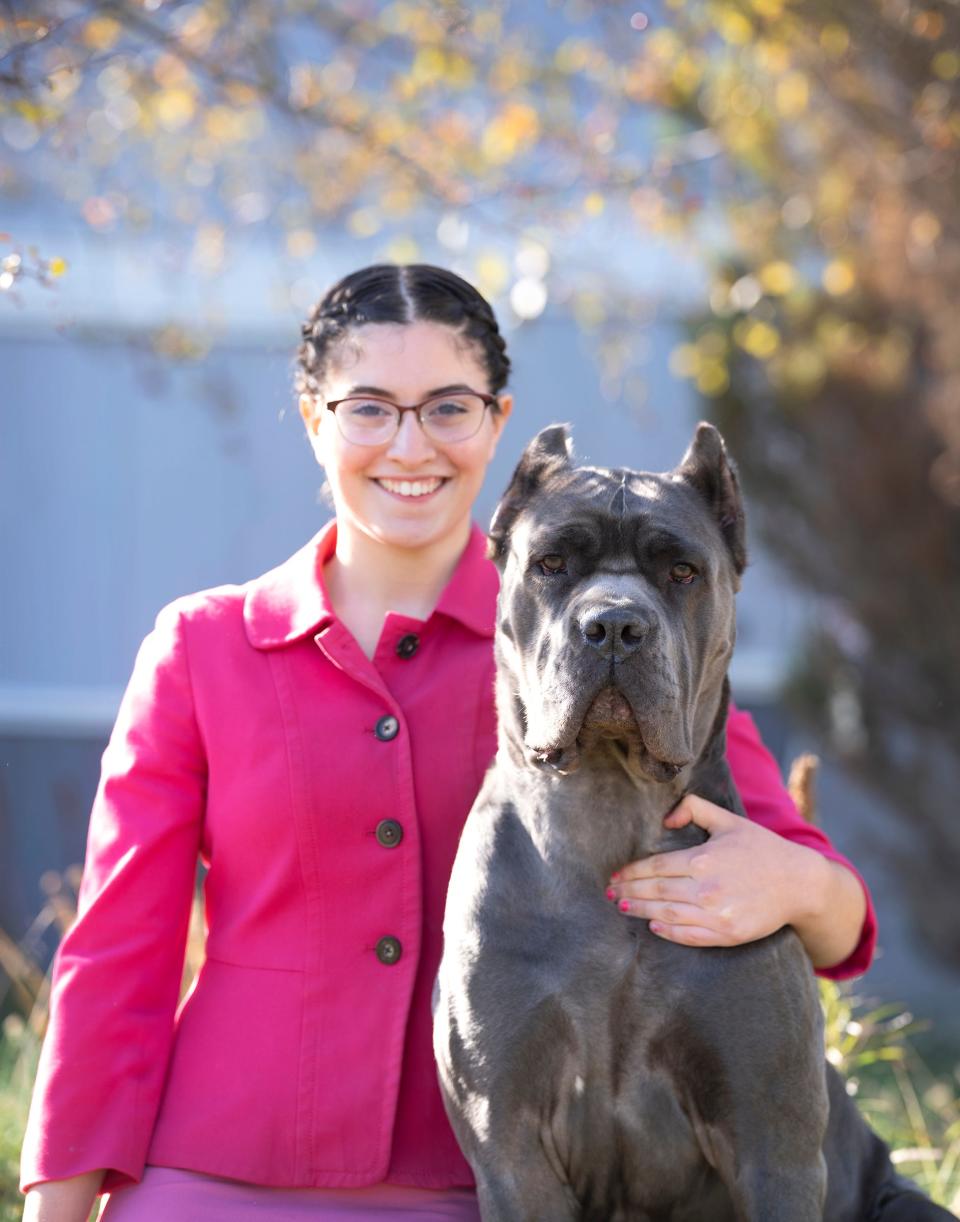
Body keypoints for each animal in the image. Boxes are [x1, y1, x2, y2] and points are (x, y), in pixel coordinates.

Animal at [432, 422, 947, 1222]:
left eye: (682, 572)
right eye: (551, 564)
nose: (614, 623)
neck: (610, 810)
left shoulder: (774, 1149)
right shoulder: (511, 1146)